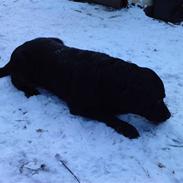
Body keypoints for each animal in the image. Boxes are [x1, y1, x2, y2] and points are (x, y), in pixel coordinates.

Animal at [0, 37, 171, 139]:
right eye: (156, 100)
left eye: (163, 97)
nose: (169, 115)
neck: (112, 82)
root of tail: (15, 51)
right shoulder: (80, 106)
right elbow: (107, 116)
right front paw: (128, 128)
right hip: (24, 66)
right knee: (16, 80)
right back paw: (31, 90)